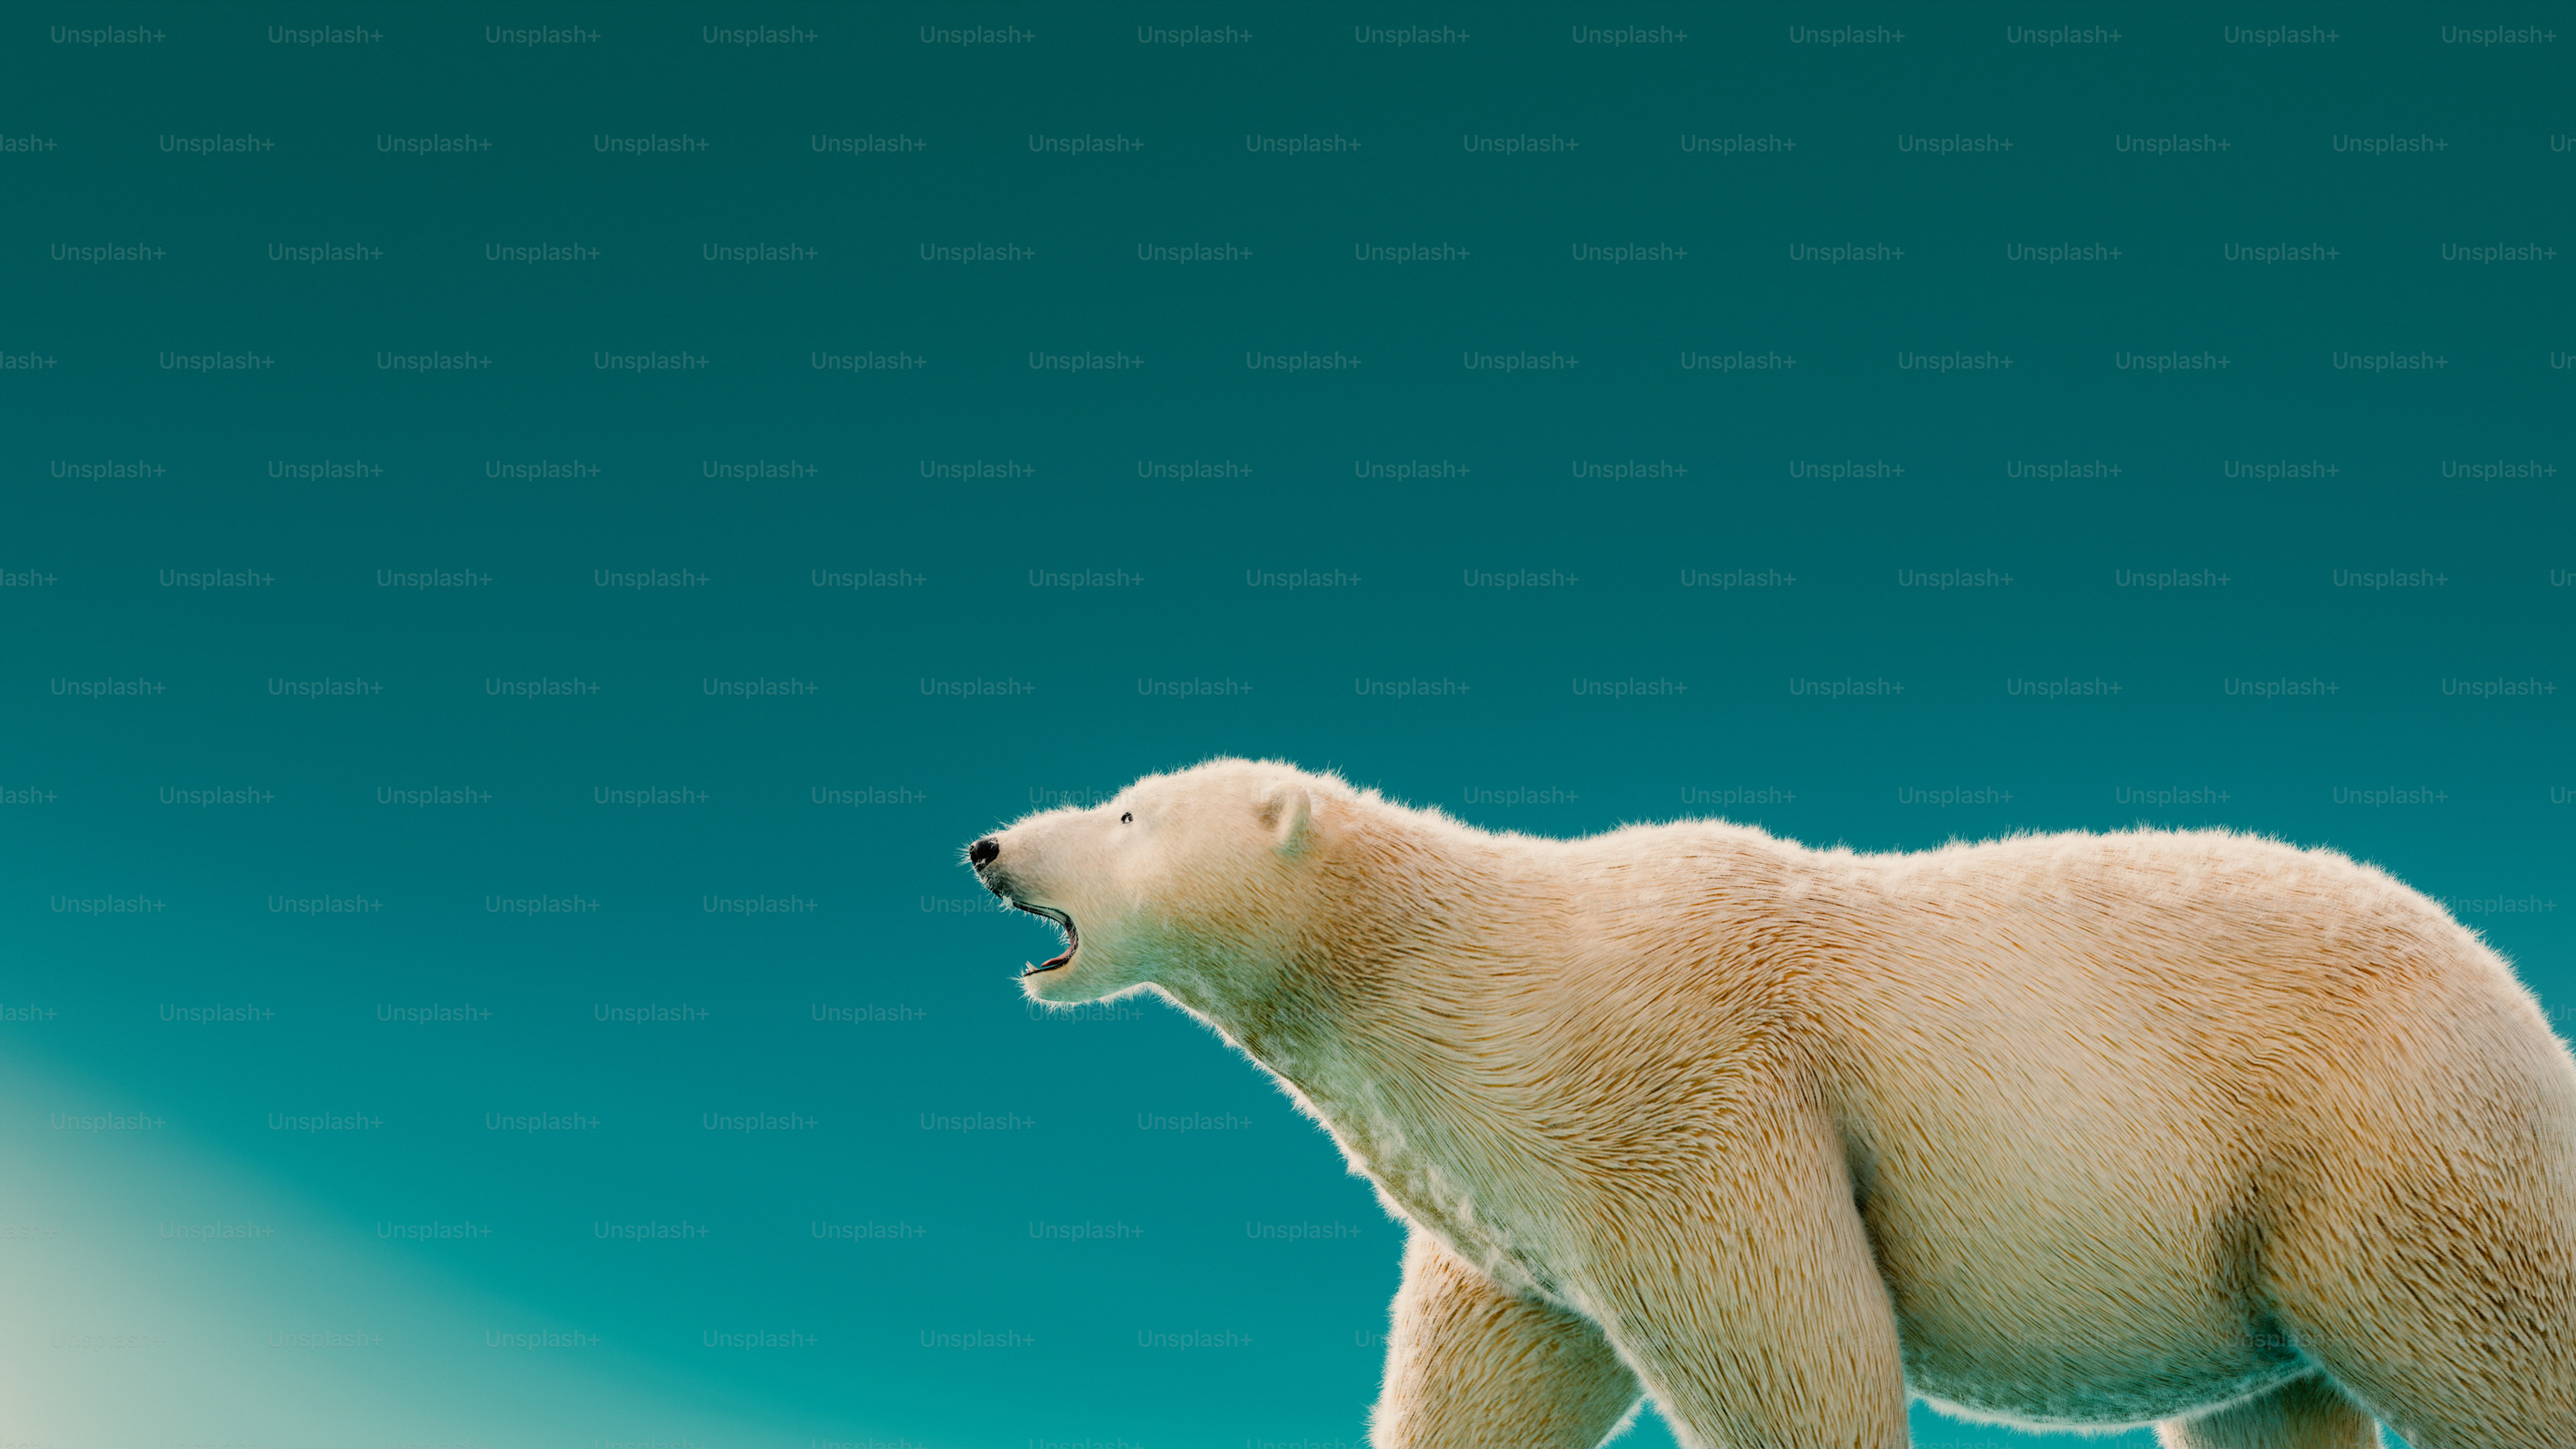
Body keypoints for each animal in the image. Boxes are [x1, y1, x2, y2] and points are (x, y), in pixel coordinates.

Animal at [963, 758, 2576, 1449]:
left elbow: (1789, 1354)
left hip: (2377, 1138)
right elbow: (1483, 1376)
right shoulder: (1506, 1195)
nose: (986, 844)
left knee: (2484, 1334)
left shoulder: (1691, 1093)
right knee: (2267, 1412)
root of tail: (2504, 982)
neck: (1480, 965)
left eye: (1125, 808)